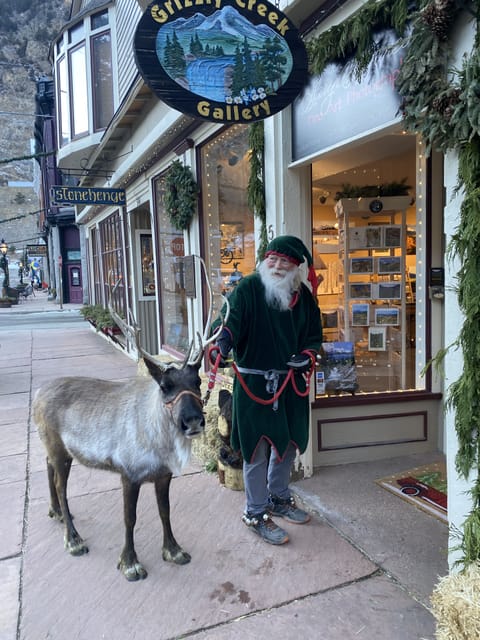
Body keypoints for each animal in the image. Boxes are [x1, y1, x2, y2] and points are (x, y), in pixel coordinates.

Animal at [32, 259, 228, 581]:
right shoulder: (129, 474)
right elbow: (130, 518)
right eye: (165, 386)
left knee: (48, 468)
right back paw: (73, 539)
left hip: (58, 449)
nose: (193, 421)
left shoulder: (163, 475)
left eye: (197, 382)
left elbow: (165, 511)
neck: (159, 441)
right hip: (59, 449)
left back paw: (58, 513)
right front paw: (130, 563)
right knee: (62, 486)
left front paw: (173, 550)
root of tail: (36, 394)